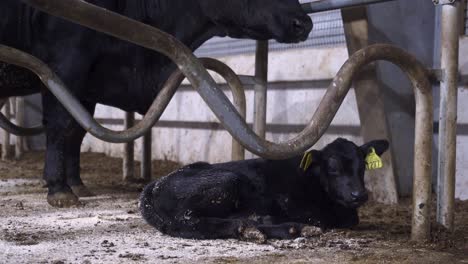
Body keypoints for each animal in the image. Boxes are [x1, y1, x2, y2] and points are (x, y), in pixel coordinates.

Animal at [0, 0, 314, 206]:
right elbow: (60, 126)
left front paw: (77, 183)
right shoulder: (65, 65)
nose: (304, 22)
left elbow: (76, 132)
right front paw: (59, 189)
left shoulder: (87, 86)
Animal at [141, 138, 390, 241]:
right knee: (188, 221)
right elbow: (322, 219)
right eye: (333, 168)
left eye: (363, 167)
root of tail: (153, 186)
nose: (359, 194)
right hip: (226, 181)